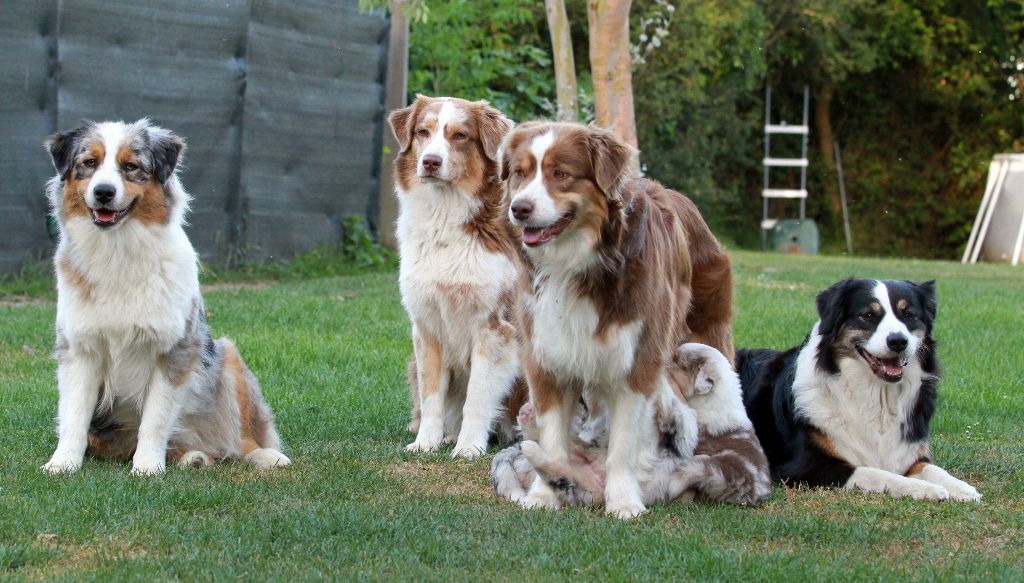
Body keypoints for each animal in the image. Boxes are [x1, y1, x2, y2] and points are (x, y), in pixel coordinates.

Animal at [39, 120, 288, 475]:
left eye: (131, 166)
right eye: (89, 162)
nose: (104, 192)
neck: (118, 252)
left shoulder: (174, 350)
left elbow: (155, 419)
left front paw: (146, 468)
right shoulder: (79, 348)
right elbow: (73, 415)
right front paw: (62, 464)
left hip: (227, 356)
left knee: (238, 437)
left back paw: (265, 456)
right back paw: (193, 456)